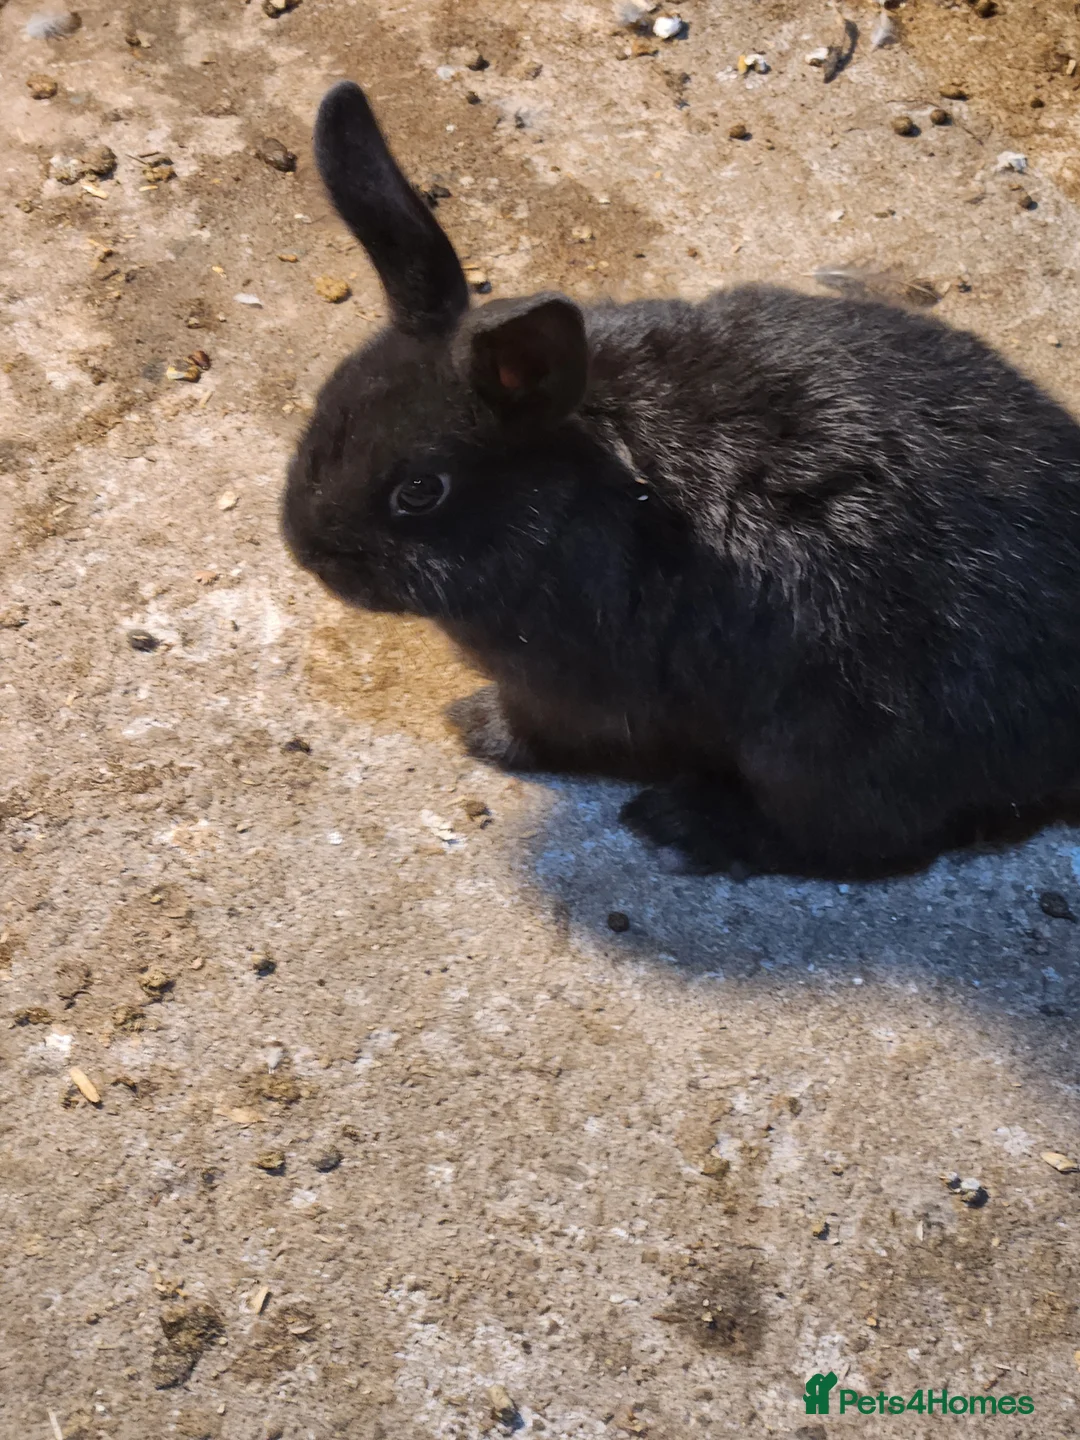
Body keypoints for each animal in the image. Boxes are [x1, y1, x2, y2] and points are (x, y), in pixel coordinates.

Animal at [283, 80, 1080, 879]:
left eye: (420, 492)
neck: (576, 492)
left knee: (854, 843)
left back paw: (685, 821)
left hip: (824, 755)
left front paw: (474, 727)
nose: (307, 551)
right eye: (327, 409)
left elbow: (541, 733)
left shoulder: (565, 694)